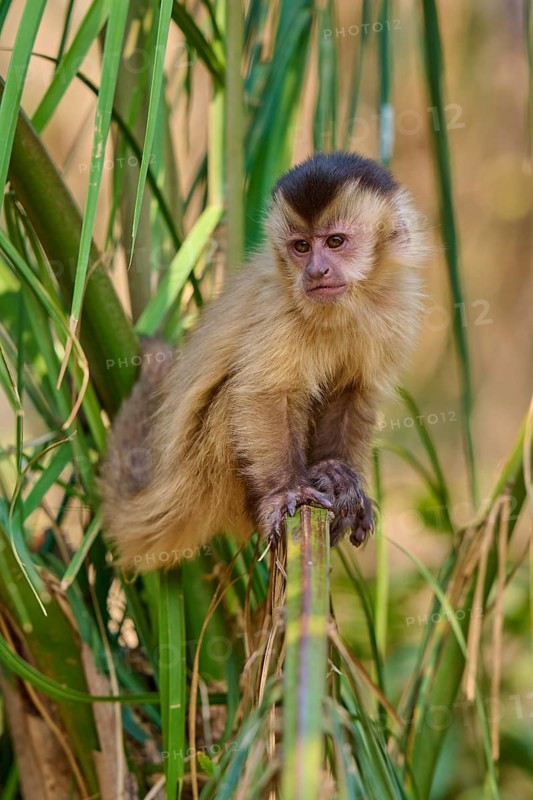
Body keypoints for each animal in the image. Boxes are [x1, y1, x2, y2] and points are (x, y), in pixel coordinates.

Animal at [100, 151, 428, 572]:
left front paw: (340, 472)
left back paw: (328, 474)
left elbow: (355, 390)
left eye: (335, 242)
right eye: (301, 247)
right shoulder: (280, 308)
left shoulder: (396, 303)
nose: (316, 270)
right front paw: (286, 490)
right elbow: (265, 394)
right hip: (208, 474)